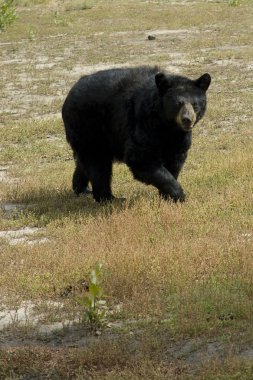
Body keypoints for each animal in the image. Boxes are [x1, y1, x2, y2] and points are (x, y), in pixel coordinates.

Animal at [62, 66, 211, 202]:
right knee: (97, 163)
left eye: (195, 104)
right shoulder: (143, 122)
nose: (187, 119)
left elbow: (175, 159)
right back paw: (109, 198)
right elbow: (140, 157)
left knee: (85, 162)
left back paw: (82, 189)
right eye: (178, 104)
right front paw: (178, 195)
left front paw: (166, 196)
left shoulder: (179, 137)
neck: (166, 125)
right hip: (89, 125)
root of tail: (71, 92)